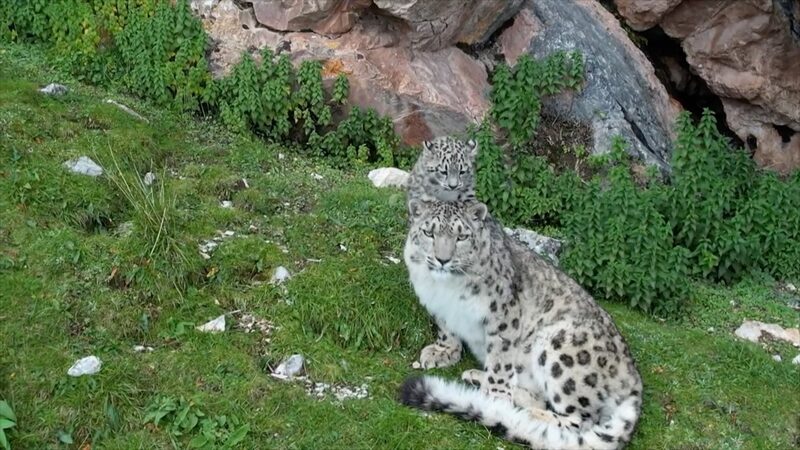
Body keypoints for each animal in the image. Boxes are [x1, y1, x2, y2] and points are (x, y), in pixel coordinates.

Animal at [399, 198, 643, 449]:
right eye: (429, 233)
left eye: (462, 237)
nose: (443, 259)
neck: (445, 288)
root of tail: (633, 378)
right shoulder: (439, 306)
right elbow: (447, 330)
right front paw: (442, 352)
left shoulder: (503, 314)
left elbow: (500, 360)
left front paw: (496, 397)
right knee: (540, 399)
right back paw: (477, 379)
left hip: (561, 348)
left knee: (579, 419)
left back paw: (523, 413)